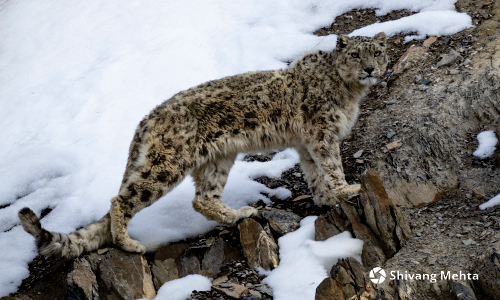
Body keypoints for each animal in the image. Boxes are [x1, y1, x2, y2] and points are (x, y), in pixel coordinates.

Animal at [18, 32, 386, 258]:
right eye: (356, 54)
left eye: (377, 52)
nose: (370, 69)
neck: (350, 93)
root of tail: (145, 121)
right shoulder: (321, 134)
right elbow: (331, 165)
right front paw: (348, 189)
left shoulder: (306, 142)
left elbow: (314, 172)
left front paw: (325, 199)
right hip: (166, 165)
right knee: (121, 199)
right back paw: (129, 243)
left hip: (217, 159)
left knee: (202, 198)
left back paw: (239, 213)